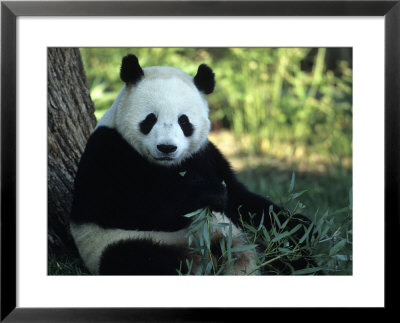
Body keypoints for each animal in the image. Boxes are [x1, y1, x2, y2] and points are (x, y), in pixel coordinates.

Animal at [70, 53, 310, 276]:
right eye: (150, 119)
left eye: (183, 121)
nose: (166, 147)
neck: (166, 165)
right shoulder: (106, 150)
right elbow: (116, 204)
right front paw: (208, 193)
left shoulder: (205, 155)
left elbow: (242, 199)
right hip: (118, 243)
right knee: (136, 258)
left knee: (288, 242)